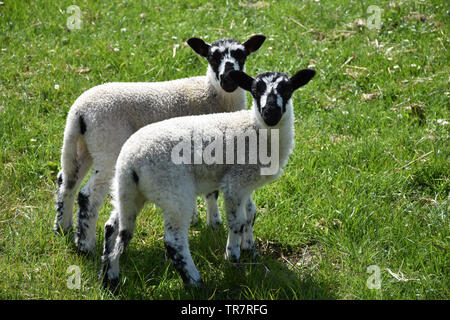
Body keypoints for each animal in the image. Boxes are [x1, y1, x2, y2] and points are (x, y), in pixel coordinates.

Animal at [54, 35, 268, 255]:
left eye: (241, 55)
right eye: (212, 57)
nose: (228, 80)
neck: (211, 94)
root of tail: (79, 112)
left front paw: (199, 218)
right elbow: (212, 192)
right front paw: (213, 222)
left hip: (82, 146)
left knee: (66, 182)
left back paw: (63, 228)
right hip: (108, 147)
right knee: (88, 195)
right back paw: (86, 246)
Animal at [101, 67, 316, 288]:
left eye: (287, 89)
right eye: (256, 91)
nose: (270, 113)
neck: (256, 130)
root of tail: (130, 161)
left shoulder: (245, 183)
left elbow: (251, 214)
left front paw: (250, 249)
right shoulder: (235, 182)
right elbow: (237, 222)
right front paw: (233, 257)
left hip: (127, 191)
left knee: (114, 228)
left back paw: (110, 278)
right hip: (173, 190)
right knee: (173, 241)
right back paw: (195, 281)